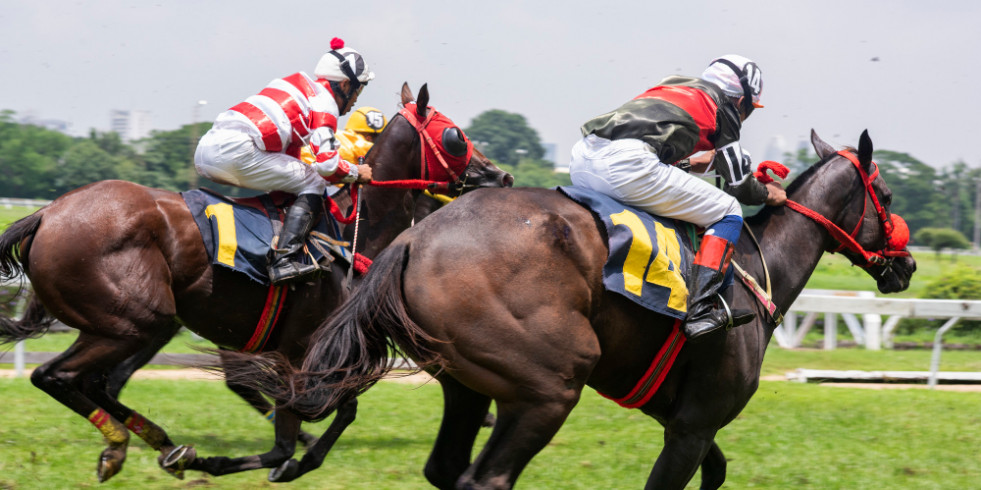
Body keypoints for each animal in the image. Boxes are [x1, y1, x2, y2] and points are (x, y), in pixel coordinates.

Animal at [0, 83, 516, 482]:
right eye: (454, 134)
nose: (501, 175)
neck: (349, 229)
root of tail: (47, 214)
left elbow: (331, 413)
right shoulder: (301, 350)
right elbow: (306, 421)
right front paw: (279, 460)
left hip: (129, 323)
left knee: (98, 381)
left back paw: (165, 446)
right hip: (135, 320)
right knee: (58, 375)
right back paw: (121, 447)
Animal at [241, 128, 916, 488]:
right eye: (884, 194)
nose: (907, 265)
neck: (755, 266)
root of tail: (412, 240)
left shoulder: (680, 419)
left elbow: (718, 470)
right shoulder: (694, 424)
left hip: (469, 385)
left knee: (446, 467)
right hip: (549, 385)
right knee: (486, 475)